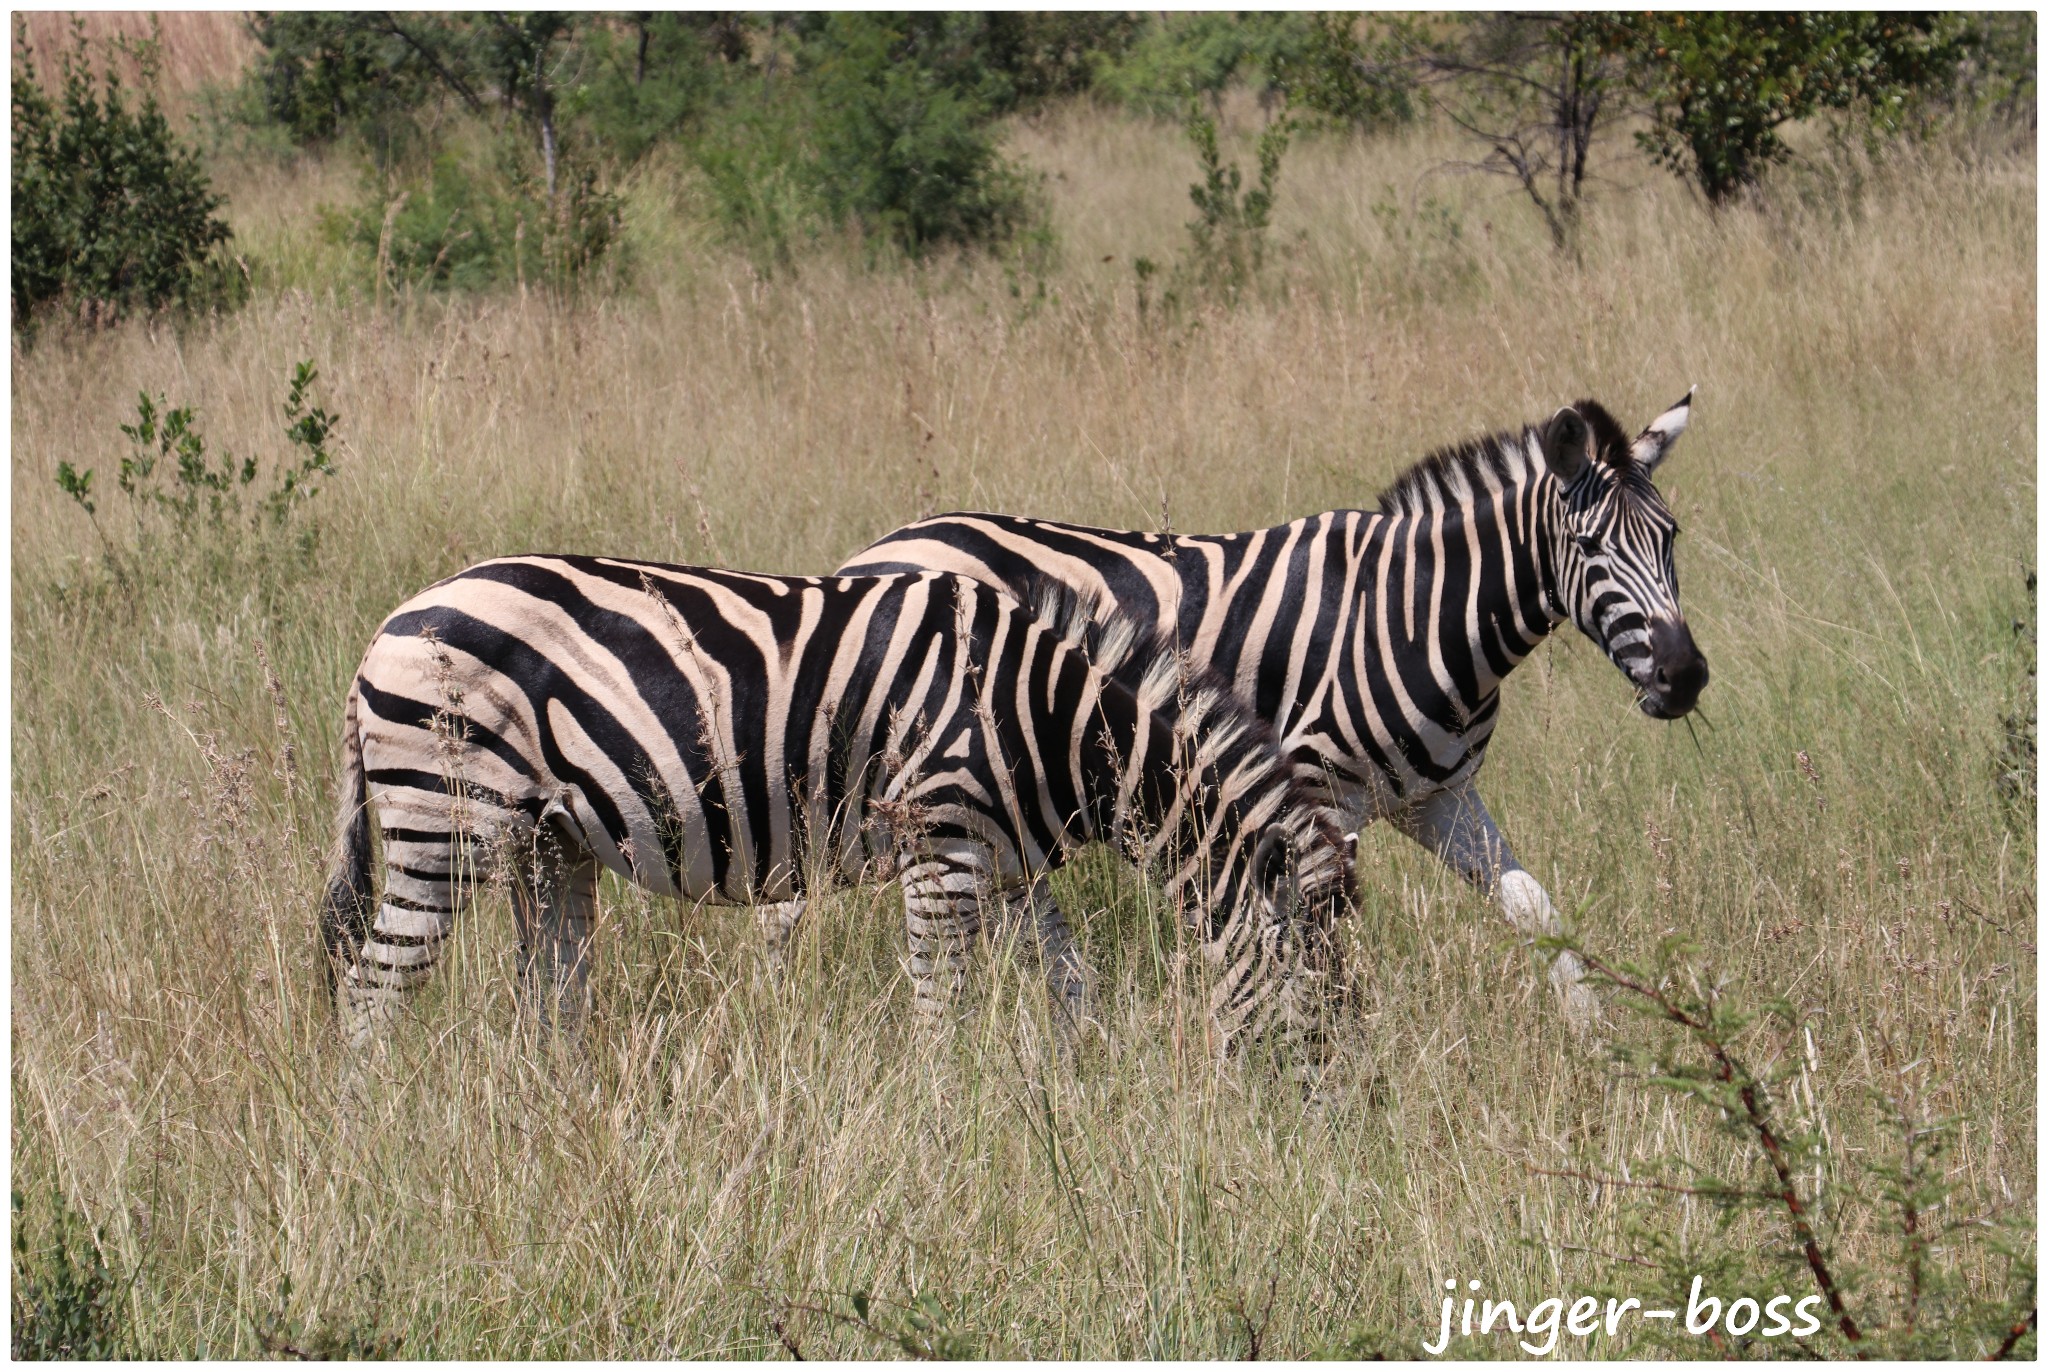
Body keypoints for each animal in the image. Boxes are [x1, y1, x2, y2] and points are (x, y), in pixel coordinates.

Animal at [319, 556, 1351, 1064]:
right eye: (1330, 1003)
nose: (1347, 1130)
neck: (1047, 716)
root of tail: (386, 626)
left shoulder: (1011, 867)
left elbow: (1072, 987)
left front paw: (1079, 1093)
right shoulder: (943, 844)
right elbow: (942, 1003)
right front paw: (946, 1127)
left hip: (546, 845)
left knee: (549, 1000)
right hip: (444, 825)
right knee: (371, 992)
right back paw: (374, 1137)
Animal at [835, 393, 1712, 1027]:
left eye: (1671, 537)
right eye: (1590, 549)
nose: (1685, 677)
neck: (1421, 611)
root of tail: (876, 550)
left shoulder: (1438, 798)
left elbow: (1532, 905)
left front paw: (1593, 1031)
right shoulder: (1322, 792)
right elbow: (1320, 922)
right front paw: (1342, 1023)